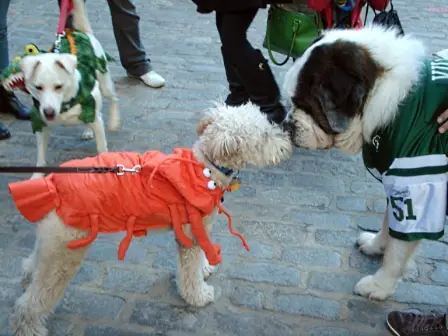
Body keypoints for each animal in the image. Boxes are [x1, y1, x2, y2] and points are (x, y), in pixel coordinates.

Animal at [7, 101, 294, 336]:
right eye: (265, 135)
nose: (288, 141)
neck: (204, 168)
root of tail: (51, 184)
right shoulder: (190, 235)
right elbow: (189, 272)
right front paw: (198, 295)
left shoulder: (198, 229)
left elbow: (200, 258)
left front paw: (204, 269)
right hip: (64, 258)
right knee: (31, 303)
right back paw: (29, 327)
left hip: (53, 244)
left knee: (31, 266)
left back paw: (26, 278)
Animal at [15, 0, 119, 178]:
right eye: (38, 87)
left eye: (59, 87)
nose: (49, 112)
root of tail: (81, 32)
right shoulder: (41, 125)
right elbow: (40, 157)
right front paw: (37, 177)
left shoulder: (97, 120)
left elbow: (102, 147)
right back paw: (88, 130)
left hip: (104, 82)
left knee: (112, 99)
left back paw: (113, 121)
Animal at [284, 25, 448, 300]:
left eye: (303, 104)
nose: (285, 124)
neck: (383, 96)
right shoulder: (396, 177)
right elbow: (388, 222)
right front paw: (376, 245)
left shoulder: (417, 183)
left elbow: (398, 248)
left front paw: (380, 285)